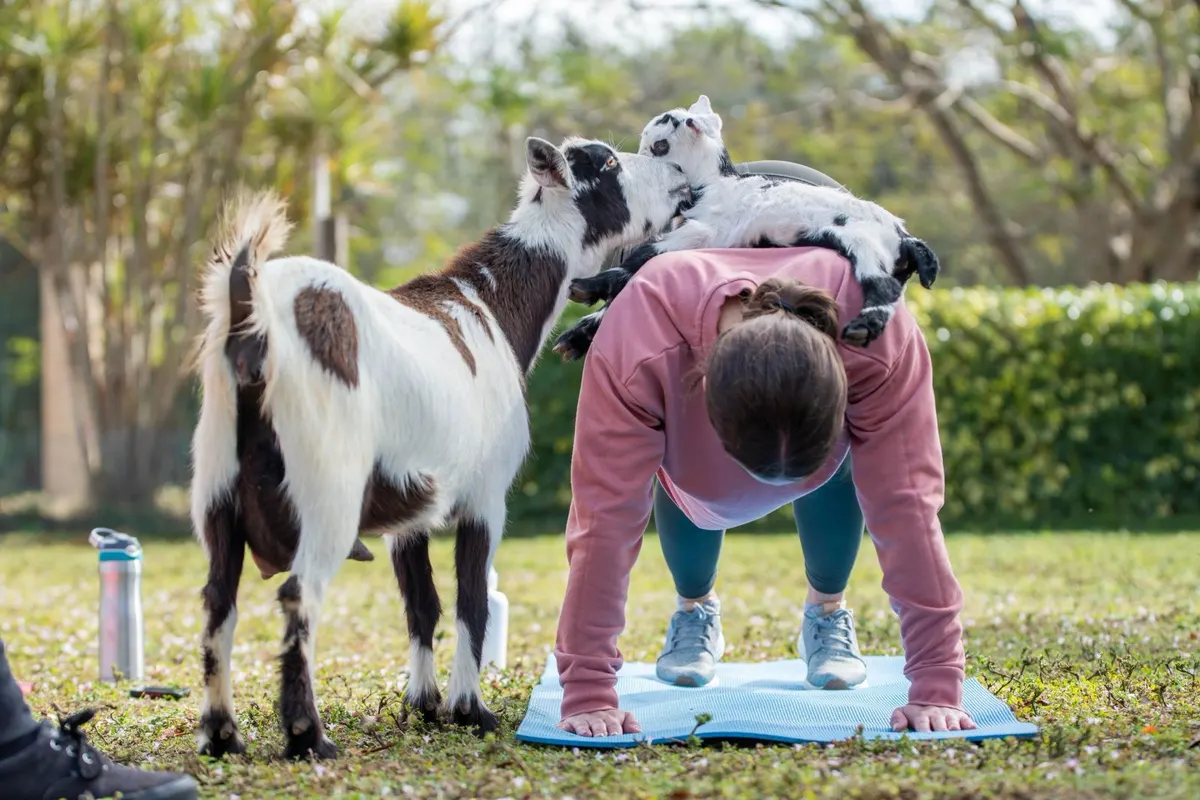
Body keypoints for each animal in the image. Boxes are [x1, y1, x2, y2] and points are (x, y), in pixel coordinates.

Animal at [189, 136, 691, 760]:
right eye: (608, 163)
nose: (679, 176)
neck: (490, 307)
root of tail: (251, 311)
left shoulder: (412, 512)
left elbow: (422, 603)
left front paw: (424, 704)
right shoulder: (486, 496)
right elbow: (470, 601)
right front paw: (470, 709)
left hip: (216, 485)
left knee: (218, 600)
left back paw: (222, 735)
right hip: (326, 486)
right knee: (297, 595)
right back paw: (308, 736)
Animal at [552, 95, 940, 360]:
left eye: (661, 132)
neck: (713, 184)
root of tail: (907, 237)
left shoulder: (704, 232)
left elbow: (642, 258)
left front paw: (587, 288)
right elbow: (632, 276)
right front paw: (579, 333)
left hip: (865, 246)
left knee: (883, 289)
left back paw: (861, 328)